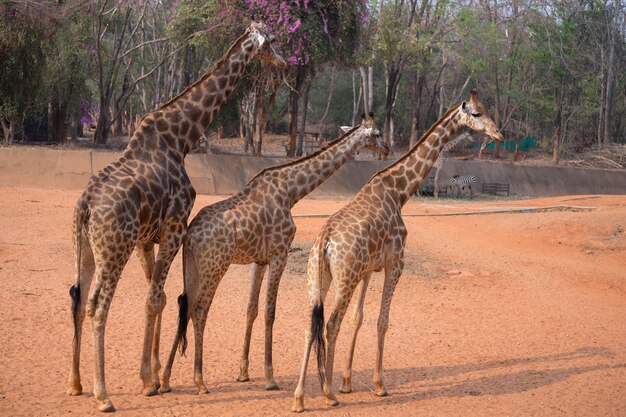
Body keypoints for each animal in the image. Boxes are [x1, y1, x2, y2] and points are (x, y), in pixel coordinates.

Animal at [67, 21, 284, 412]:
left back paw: (76, 383)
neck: (181, 138)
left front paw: (152, 377)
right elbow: (155, 298)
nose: (284, 61)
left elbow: (159, 297)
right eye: (271, 41)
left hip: (86, 248)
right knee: (97, 306)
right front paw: (150, 382)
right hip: (114, 249)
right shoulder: (175, 227)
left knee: (78, 300)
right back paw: (103, 394)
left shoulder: (146, 239)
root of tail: (87, 204)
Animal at [158, 113, 388, 394]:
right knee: (200, 309)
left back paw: (165, 379)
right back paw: (199, 381)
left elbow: (251, 309)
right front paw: (269, 377)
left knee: (185, 304)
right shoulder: (280, 252)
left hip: (191, 265)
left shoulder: (259, 260)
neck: (292, 191)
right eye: (377, 133)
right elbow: (270, 312)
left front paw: (243, 373)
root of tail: (190, 236)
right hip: (216, 265)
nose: (387, 149)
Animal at [292, 89, 502, 412]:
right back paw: (327, 393)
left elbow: (359, 318)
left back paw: (300, 398)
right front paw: (379, 385)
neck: (399, 190)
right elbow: (382, 321)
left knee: (309, 326)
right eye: (477, 114)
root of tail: (324, 241)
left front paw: (347, 381)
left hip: (318, 278)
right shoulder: (396, 263)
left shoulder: (368, 270)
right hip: (345, 278)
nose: (498, 133)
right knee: (330, 324)